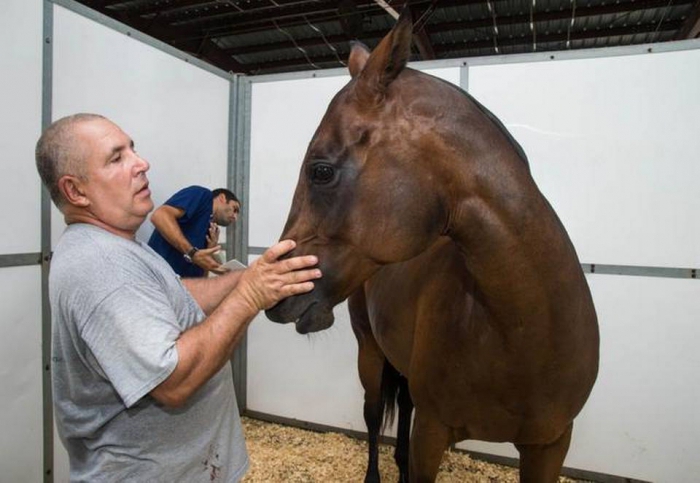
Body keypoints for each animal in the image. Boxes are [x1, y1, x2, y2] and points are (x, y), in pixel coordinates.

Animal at [266, 9, 600, 482]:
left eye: (321, 171)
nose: (277, 296)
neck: (522, 331)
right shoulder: (433, 431)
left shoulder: (550, 445)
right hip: (370, 353)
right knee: (374, 414)